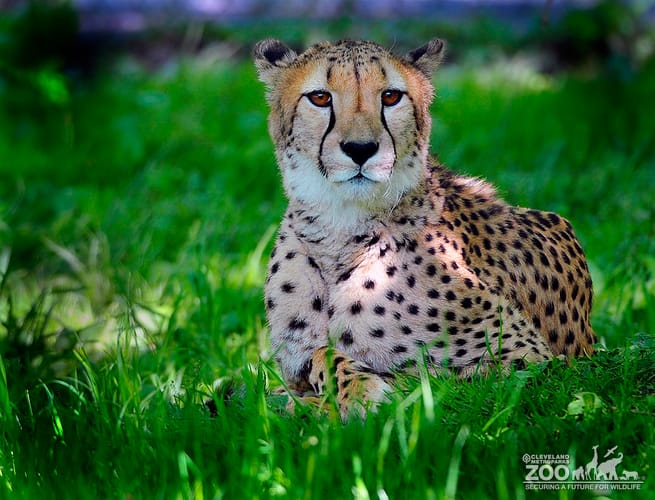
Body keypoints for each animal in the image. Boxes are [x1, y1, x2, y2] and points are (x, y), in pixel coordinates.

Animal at [253, 38, 596, 419]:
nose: (360, 149)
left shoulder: (534, 362)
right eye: (320, 97)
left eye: (391, 97)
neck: (340, 231)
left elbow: (417, 378)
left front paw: (356, 394)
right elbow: (308, 363)